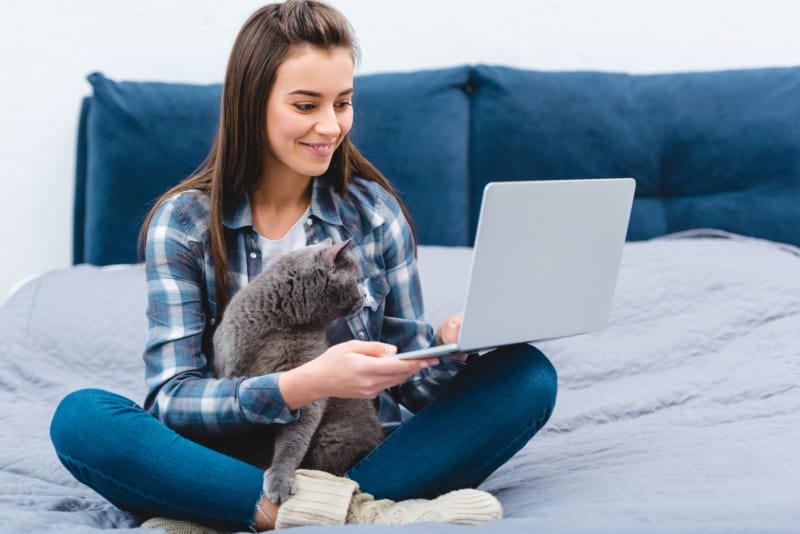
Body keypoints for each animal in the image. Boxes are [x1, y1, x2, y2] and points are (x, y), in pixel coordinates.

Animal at [212, 241, 388, 504]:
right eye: (356, 279)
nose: (366, 294)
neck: (281, 324)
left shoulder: (306, 375)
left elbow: (293, 439)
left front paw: (280, 479)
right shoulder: (231, 370)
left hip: (335, 435)